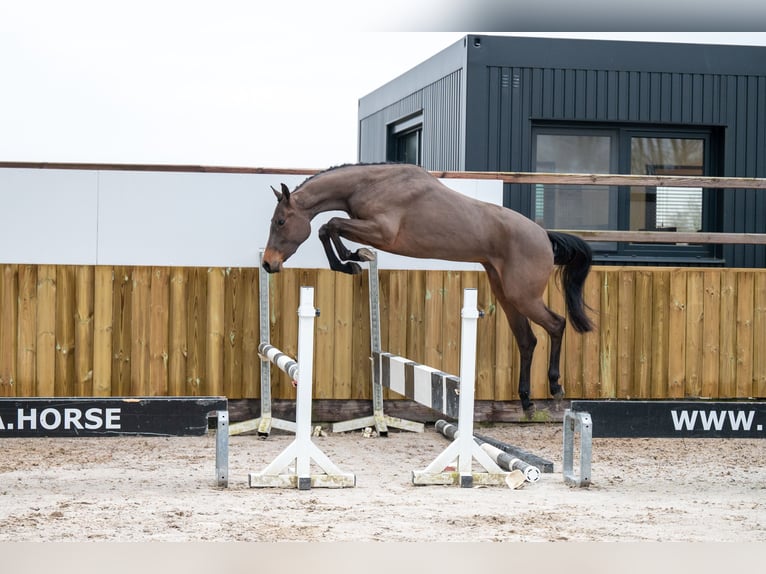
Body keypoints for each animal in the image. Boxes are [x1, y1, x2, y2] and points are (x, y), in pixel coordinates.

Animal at [260, 164, 596, 416]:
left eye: (280, 221)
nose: (268, 264)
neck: (370, 184)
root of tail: (544, 235)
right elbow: (327, 227)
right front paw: (353, 260)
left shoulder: (382, 231)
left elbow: (330, 224)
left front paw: (354, 259)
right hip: (506, 295)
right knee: (527, 340)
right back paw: (526, 401)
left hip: (523, 296)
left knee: (557, 324)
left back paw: (555, 388)